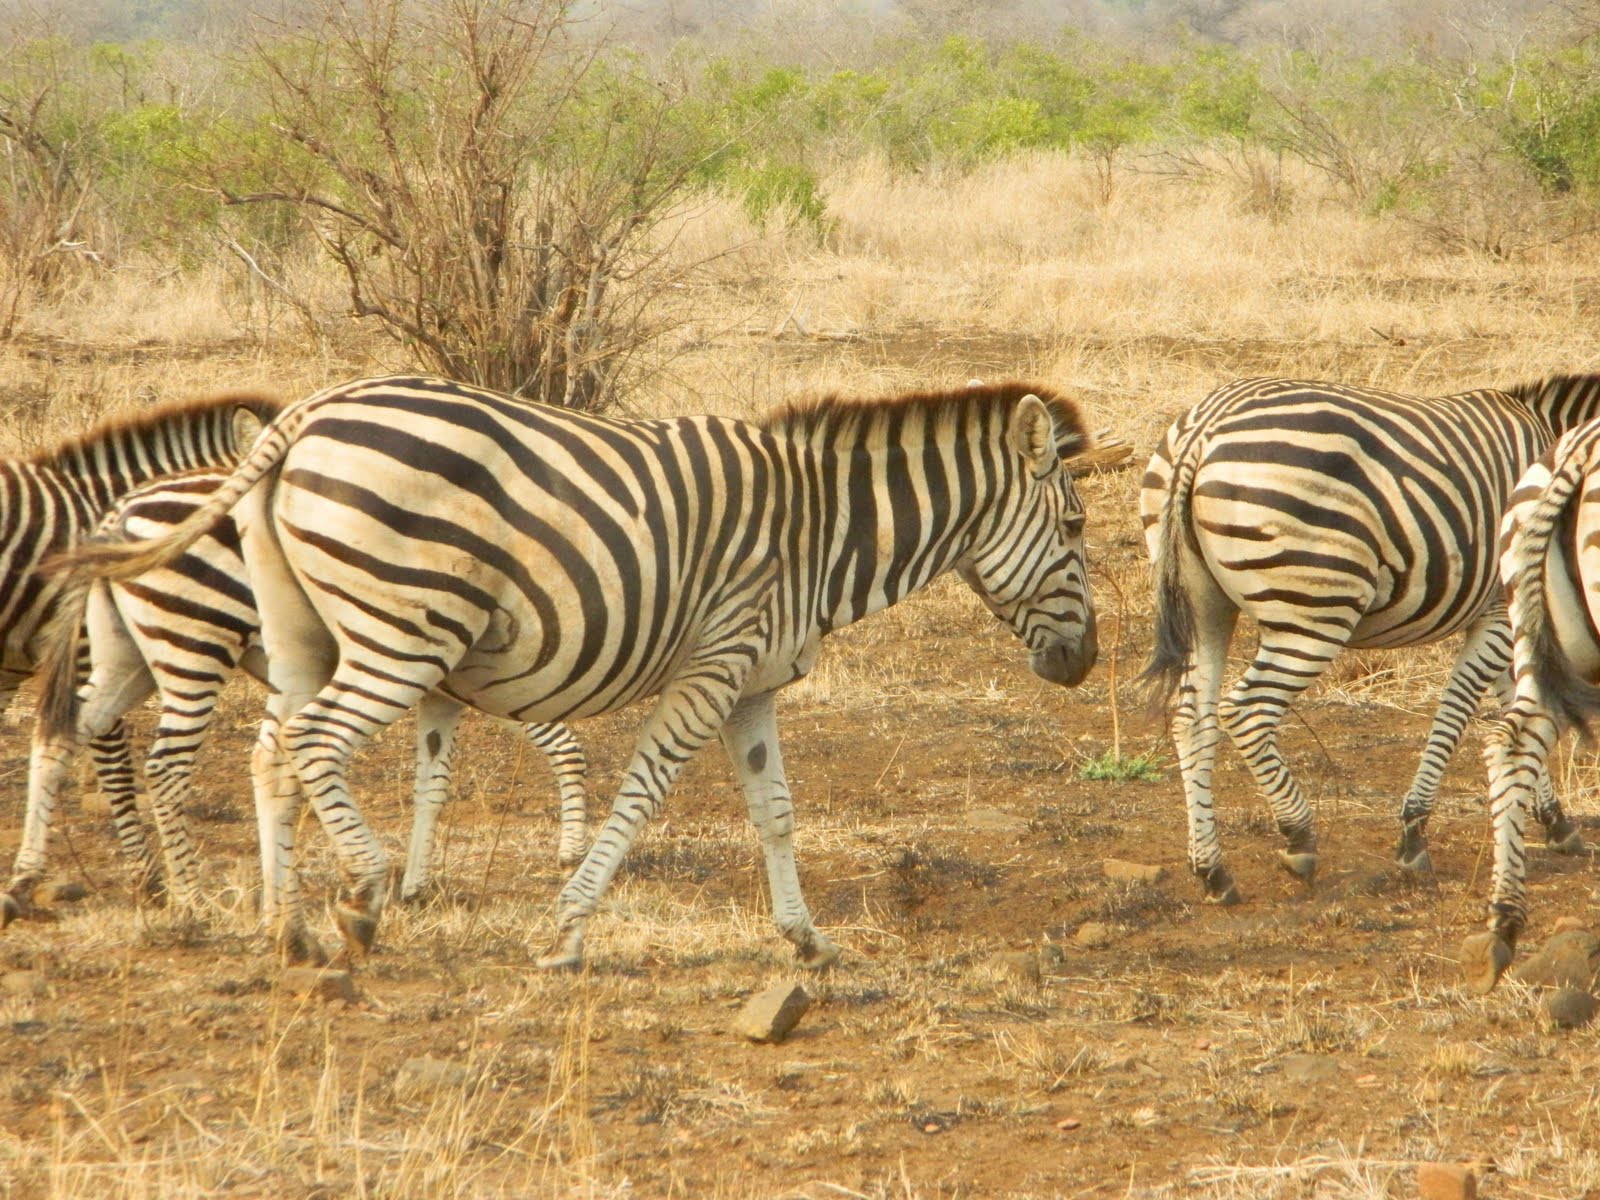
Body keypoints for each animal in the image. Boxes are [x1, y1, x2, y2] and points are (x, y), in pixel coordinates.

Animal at [15, 470, 592, 922]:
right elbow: (562, 743)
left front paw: (416, 887)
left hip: (127, 656)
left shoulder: (441, 689)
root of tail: (121, 510)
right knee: (165, 767)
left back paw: (25, 877)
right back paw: (191, 898)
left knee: (60, 734)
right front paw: (572, 849)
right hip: (194, 642)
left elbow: (432, 785)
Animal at [1141, 375, 1600, 905]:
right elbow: (1460, 709)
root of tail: (1204, 428)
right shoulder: (1505, 609)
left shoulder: (1505, 621)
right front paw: (1414, 834)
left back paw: (1213, 871)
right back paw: (1298, 839)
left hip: (1203, 603)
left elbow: (1514, 705)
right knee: (1247, 712)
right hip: (1316, 607)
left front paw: (1553, 820)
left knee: (1190, 718)